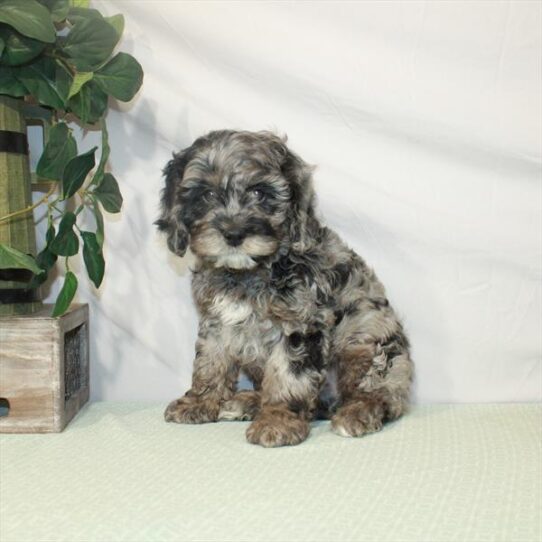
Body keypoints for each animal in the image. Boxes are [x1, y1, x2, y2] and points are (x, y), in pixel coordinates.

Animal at [157, 130, 416, 448]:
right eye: (206, 195)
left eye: (259, 193)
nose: (233, 233)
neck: (248, 272)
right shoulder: (216, 321)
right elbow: (210, 361)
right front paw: (199, 401)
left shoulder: (301, 324)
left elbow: (288, 374)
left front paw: (277, 420)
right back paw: (246, 402)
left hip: (366, 346)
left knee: (380, 394)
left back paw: (356, 413)